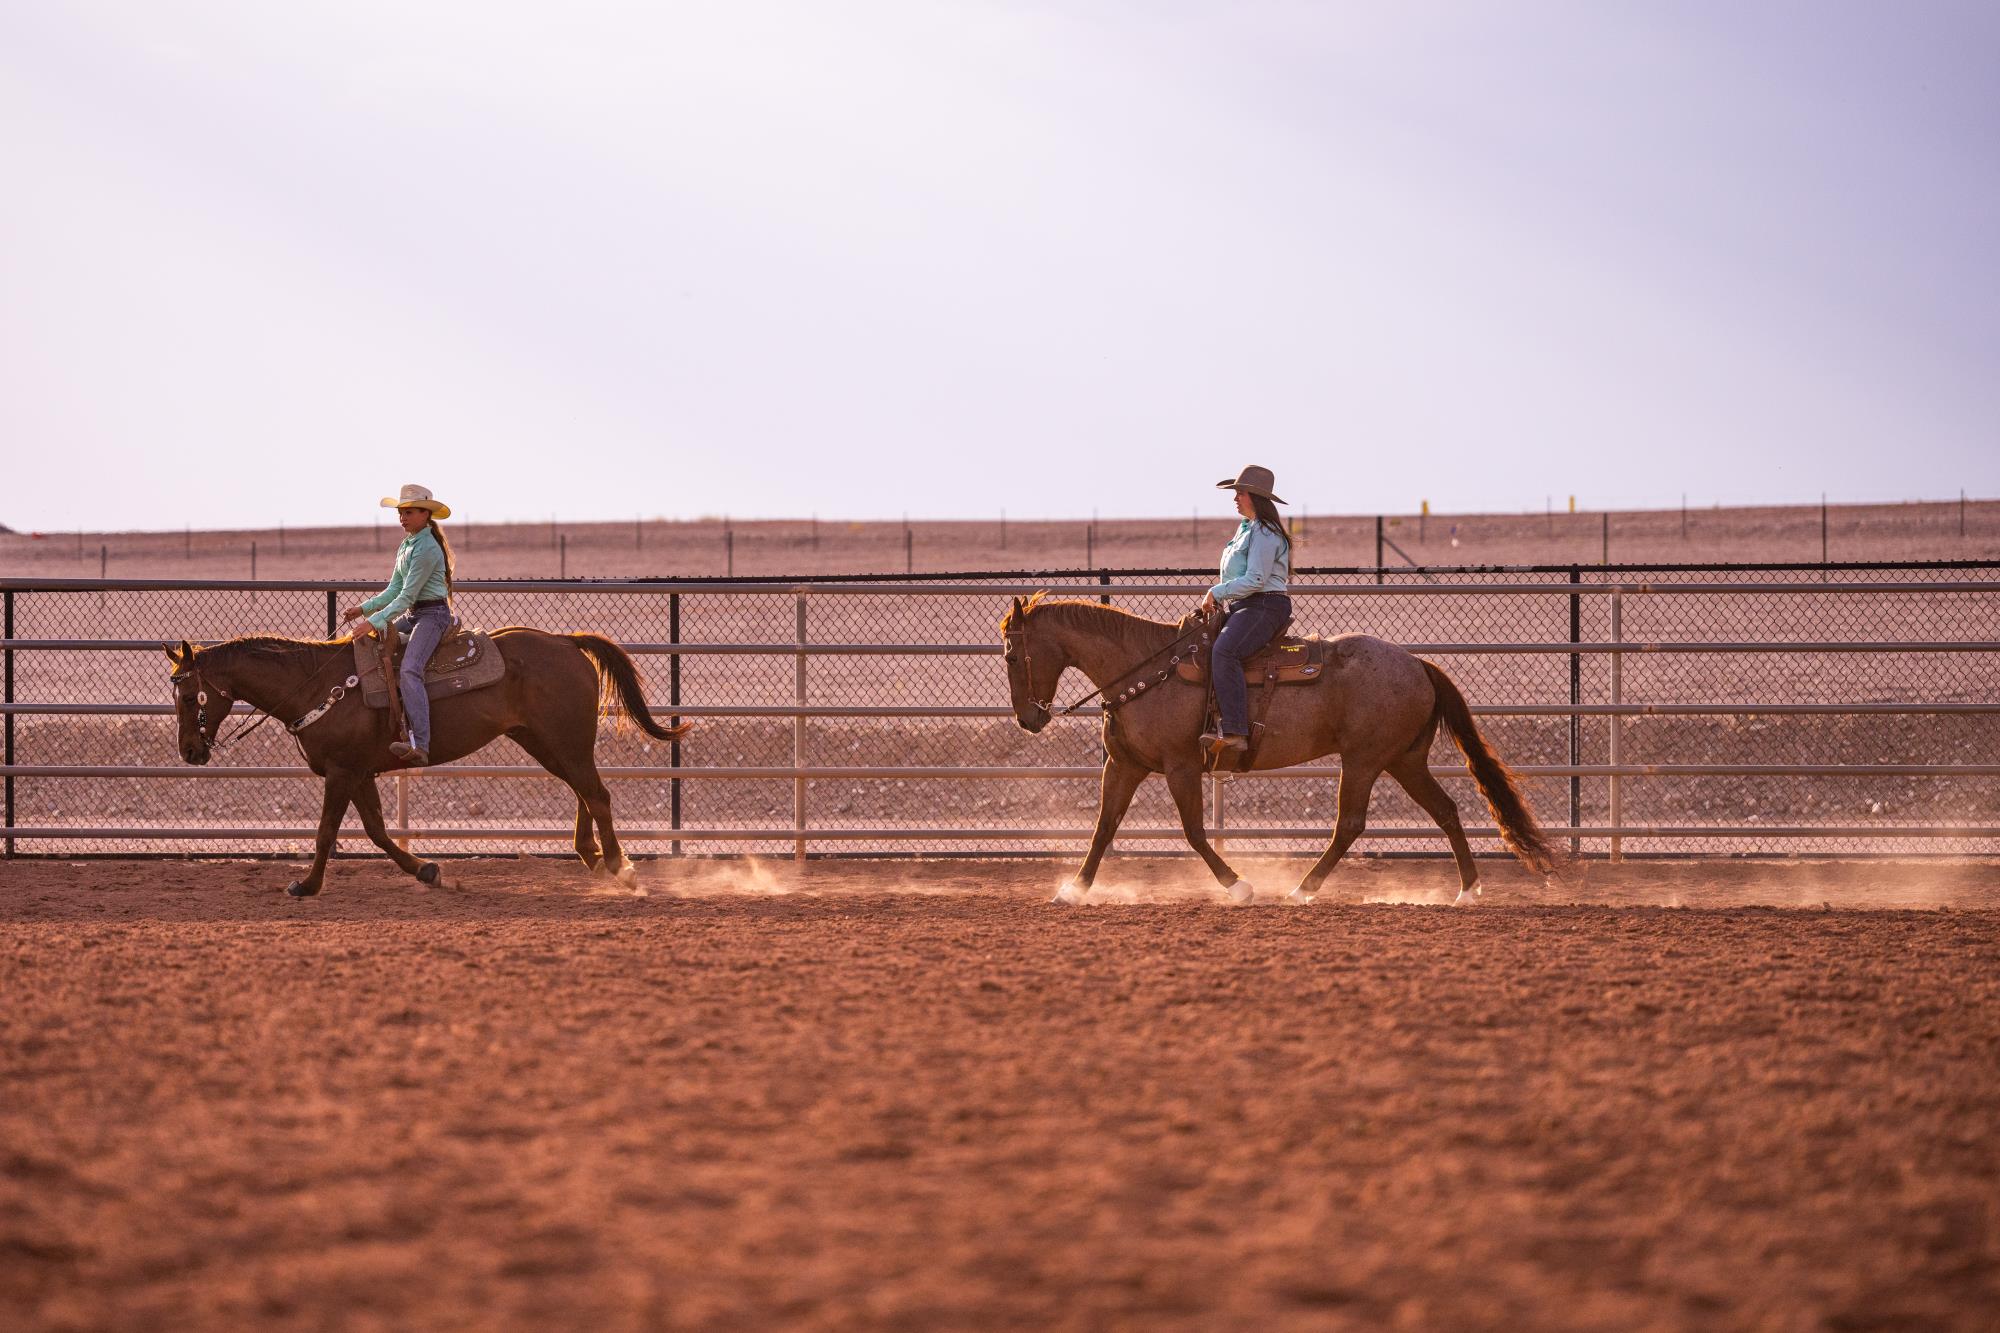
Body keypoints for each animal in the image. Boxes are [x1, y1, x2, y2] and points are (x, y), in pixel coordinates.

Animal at [160, 628, 688, 896]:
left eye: (187, 696)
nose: (189, 752)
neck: (314, 686)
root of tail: (565, 641)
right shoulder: (359, 773)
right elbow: (375, 830)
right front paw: (427, 871)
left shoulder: (341, 772)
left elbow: (327, 831)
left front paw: (306, 885)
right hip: (545, 741)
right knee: (584, 790)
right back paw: (592, 857)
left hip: (565, 738)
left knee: (596, 792)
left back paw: (620, 867)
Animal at [1000, 592, 1560, 896]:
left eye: (1009, 654)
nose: (1028, 719)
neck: (1147, 669)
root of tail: (1418, 664)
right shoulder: (1124, 765)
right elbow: (1103, 829)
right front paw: (1076, 888)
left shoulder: (1181, 766)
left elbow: (1194, 832)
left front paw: (1238, 885)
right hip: (1403, 760)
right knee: (1445, 810)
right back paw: (1468, 889)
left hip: (1364, 760)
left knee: (1350, 824)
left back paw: (1303, 889)